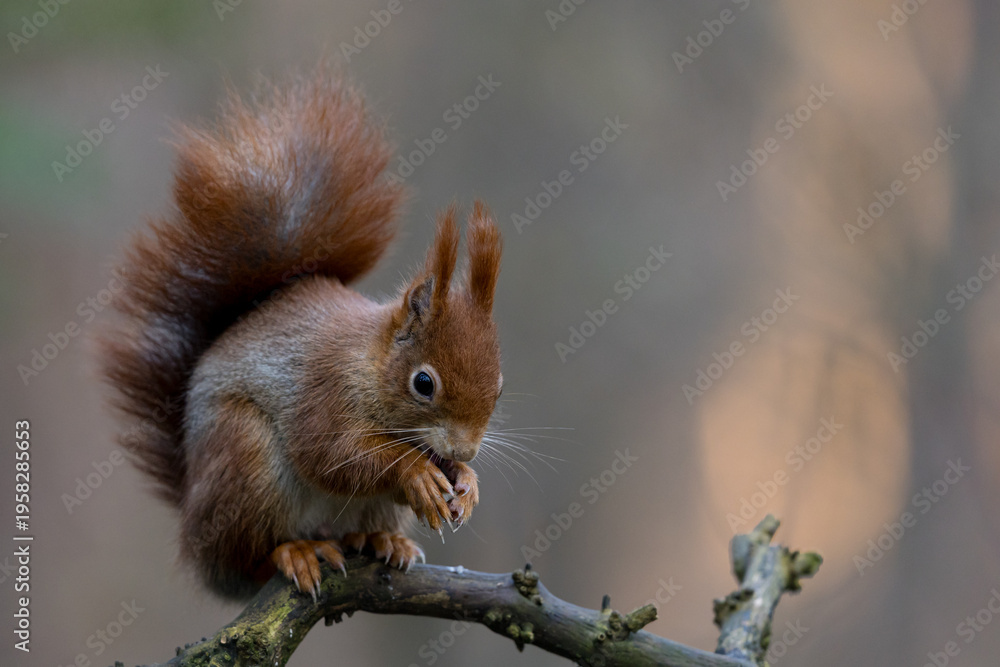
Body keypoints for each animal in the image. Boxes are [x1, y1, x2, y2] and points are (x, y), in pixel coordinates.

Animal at [99, 67, 503, 600]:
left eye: (500, 389)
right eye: (423, 383)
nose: (464, 450)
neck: (367, 362)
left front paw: (468, 482)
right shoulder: (320, 389)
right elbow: (330, 454)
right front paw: (414, 469)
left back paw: (381, 539)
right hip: (244, 461)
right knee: (248, 557)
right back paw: (293, 552)